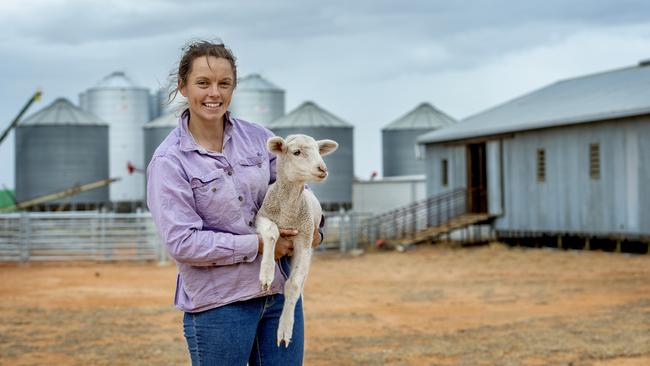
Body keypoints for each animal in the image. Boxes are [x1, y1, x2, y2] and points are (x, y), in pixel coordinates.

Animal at [254, 134, 340, 346]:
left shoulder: (305, 238)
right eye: (296, 152)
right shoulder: (262, 216)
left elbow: (292, 284)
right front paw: (266, 275)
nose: (322, 169)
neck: (288, 211)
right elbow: (271, 233)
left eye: (318, 150)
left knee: (299, 281)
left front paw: (285, 329)